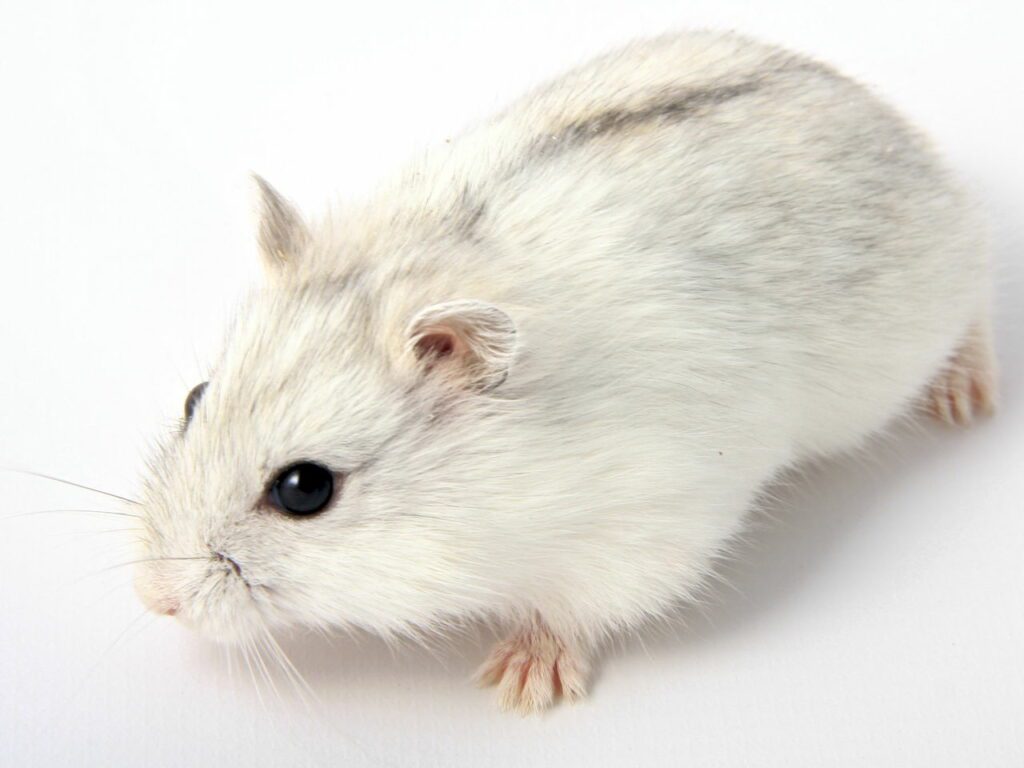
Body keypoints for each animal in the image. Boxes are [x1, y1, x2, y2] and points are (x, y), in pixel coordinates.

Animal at [134, 31, 998, 714]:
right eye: (195, 399)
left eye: (305, 489)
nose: (155, 601)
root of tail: (885, 117)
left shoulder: (645, 534)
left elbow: (572, 611)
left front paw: (519, 686)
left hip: (930, 310)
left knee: (976, 311)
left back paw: (966, 399)